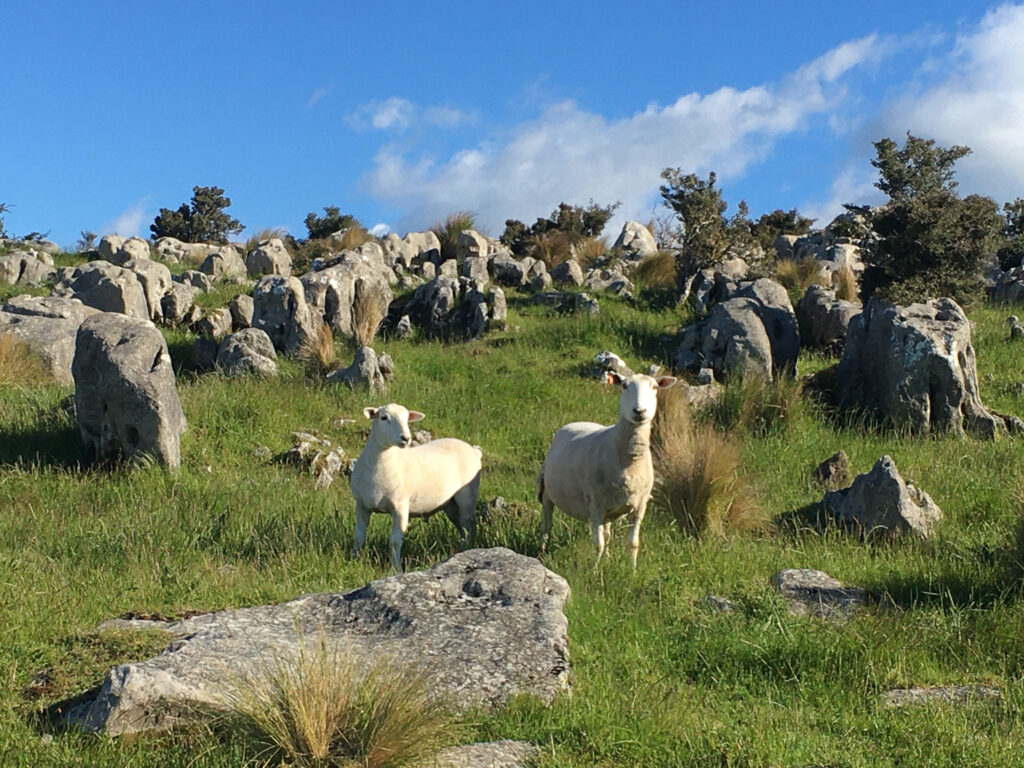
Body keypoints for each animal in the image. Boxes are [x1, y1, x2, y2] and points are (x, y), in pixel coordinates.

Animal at [350, 403, 481, 573]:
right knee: (462, 528)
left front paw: (397, 569)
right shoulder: (361, 505)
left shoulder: (400, 507)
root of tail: (474, 450)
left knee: (468, 528)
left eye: (407, 419)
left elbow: (394, 542)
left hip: (467, 499)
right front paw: (354, 560)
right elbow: (359, 536)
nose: (406, 438)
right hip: (450, 504)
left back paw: (466, 552)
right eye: (384, 417)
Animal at [536, 372, 679, 573]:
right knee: (546, 526)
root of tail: (575, 423)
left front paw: (632, 570)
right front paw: (595, 572)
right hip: (547, 493)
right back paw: (541, 553)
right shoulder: (595, 503)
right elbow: (598, 544)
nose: (639, 411)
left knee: (607, 532)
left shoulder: (640, 505)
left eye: (655, 387)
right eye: (624, 386)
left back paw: (608, 558)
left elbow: (633, 543)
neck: (630, 460)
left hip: (610, 509)